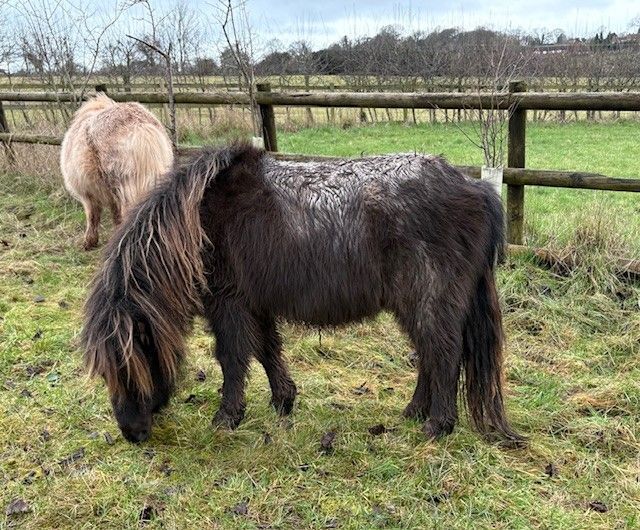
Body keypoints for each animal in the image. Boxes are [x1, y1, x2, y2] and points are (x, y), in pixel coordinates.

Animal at [82, 144, 524, 446]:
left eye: (128, 365)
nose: (132, 433)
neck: (195, 223)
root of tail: (474, 188)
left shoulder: (228, 303)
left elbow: (232, 358)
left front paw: (227, 417)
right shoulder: (254, 303)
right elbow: (266, 350)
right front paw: (283, 401)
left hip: (428, 299)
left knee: (443, 355)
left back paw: (437, 425)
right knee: (430, 356)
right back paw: (414, 412)